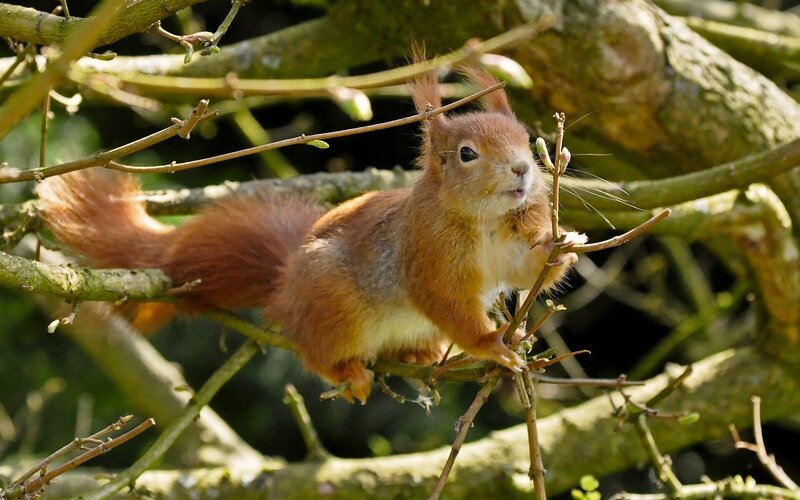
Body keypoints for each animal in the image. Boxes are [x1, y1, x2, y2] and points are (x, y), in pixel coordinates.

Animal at [35, 68, 586, 403]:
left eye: (524, 138)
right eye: (468, 154)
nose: (523, 169)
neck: (482, 218)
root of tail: (285, 291)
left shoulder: (507, 245)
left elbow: (523, 271)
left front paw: (562, 249)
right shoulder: (425, 251)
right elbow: (443, 299)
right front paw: (491, 343)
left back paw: (419, 356)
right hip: (335, 305)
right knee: (313, 352)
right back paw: (347, 373)